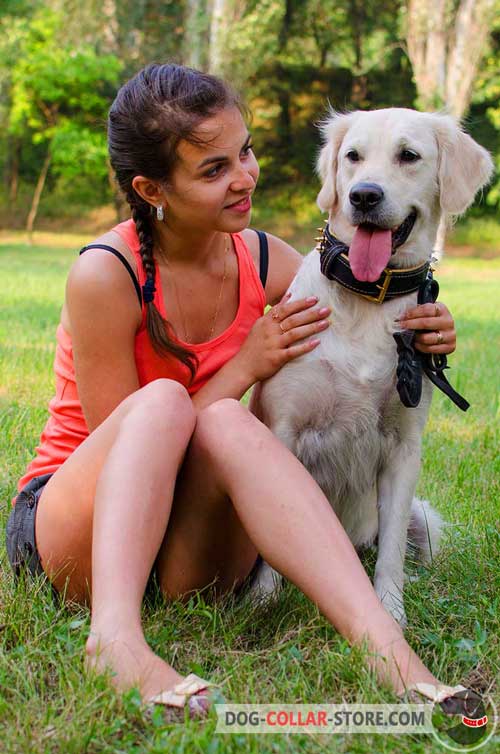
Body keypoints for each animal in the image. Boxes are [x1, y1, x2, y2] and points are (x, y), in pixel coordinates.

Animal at [250, 107, 492, 624]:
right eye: (352, 156)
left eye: (409, 155)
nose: (363, 195)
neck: (367, 295)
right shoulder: (282, 428)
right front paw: (262, 598)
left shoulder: (403, 448)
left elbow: (392, 551)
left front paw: (390, 612)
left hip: (425, 518)